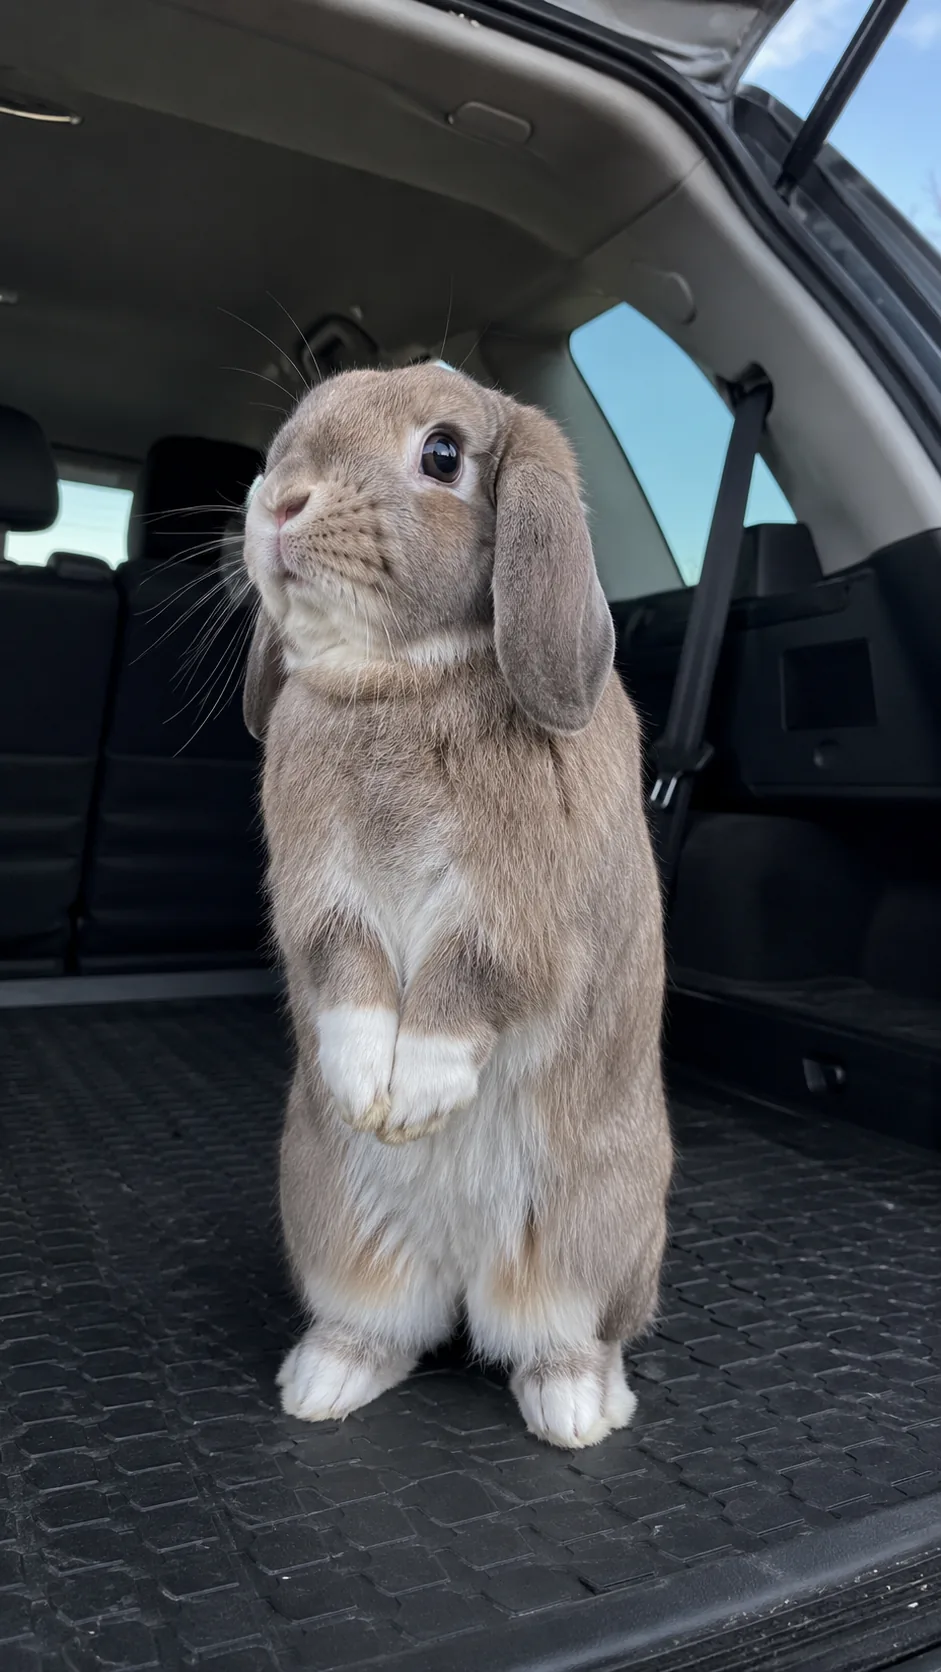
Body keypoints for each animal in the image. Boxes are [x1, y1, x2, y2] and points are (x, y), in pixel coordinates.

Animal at [241, 363, 672, 1449]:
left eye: (442, 455)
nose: (278, 502)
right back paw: (323, 1382)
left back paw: (577, 1410)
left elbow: (463, 989)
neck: (399, 676)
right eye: (284, 439)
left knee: (565, 1334)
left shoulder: (518, 920)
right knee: (386, 1320)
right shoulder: (320, 902)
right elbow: (348, 978)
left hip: (592, 1241)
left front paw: (413, 1101)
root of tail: (461, 1272)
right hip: (331, 1226)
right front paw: (368, 1093)